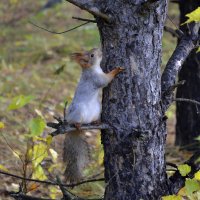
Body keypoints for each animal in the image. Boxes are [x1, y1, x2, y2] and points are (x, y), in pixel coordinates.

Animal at [63, 48, 124, 183]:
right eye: (92, 55)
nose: (99, 49)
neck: (93, 68)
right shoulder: (96, 78)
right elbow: (106, 80)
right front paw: (116, 70)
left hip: (97, 110)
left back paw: (96, 122)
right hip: (79, 111)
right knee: (75, 121)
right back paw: (77, 124)